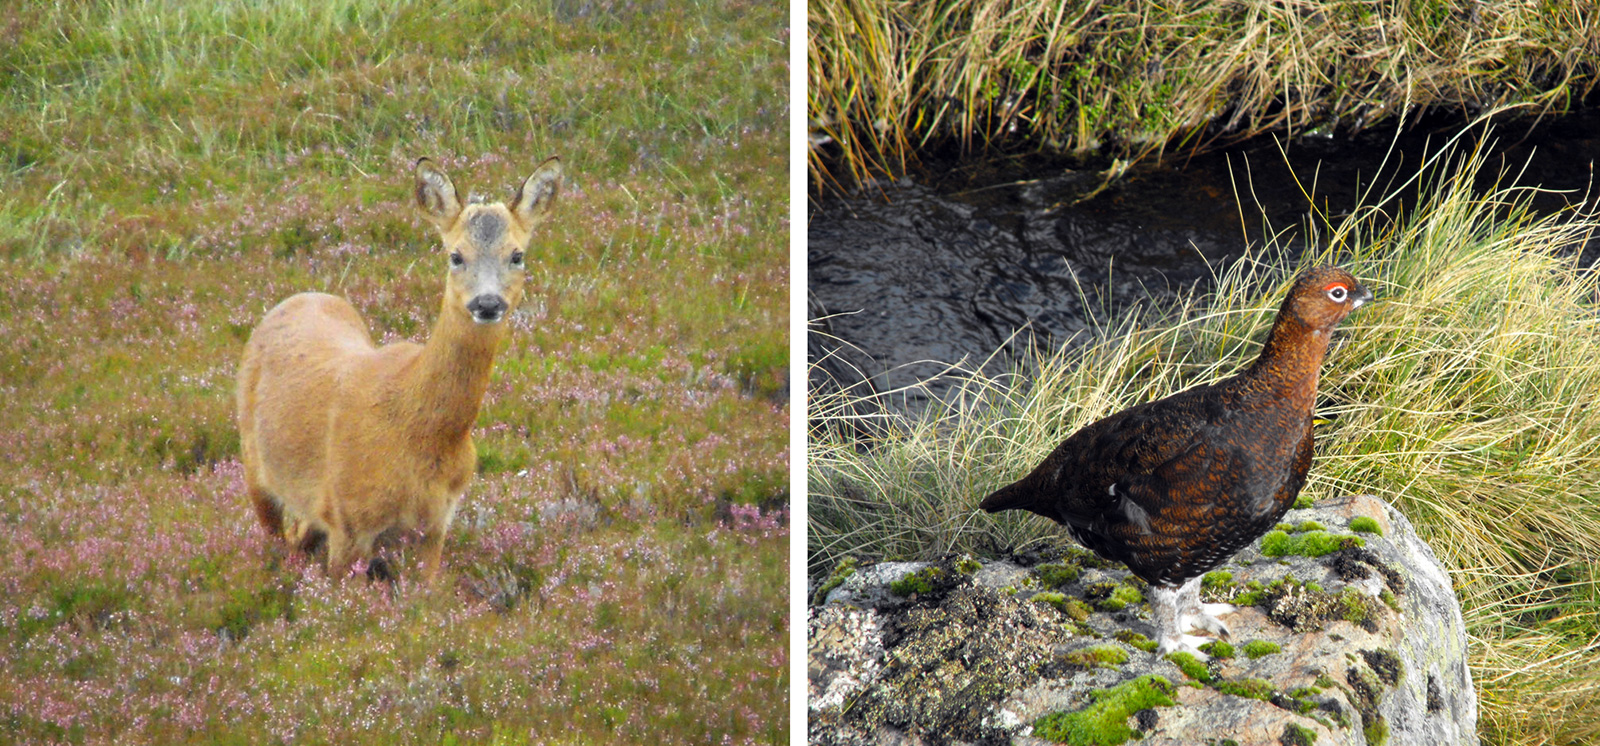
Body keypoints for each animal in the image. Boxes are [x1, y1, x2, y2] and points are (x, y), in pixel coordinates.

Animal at [233, 154, 563, 582]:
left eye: (517, 255)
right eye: (456, 256)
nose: (487, 303)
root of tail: (300, 296)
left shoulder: (436, 523)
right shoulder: (348, 519)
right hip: (253, 461)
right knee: (275, 536)